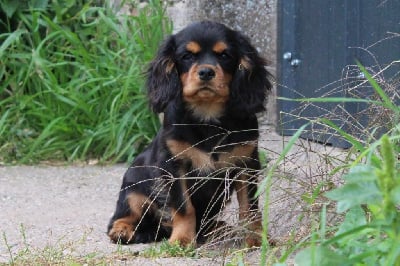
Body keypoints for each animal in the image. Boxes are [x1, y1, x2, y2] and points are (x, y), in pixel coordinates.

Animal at [107, 20, 272, 247]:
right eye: (187, 56)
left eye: (224, 55)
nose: (206, 72)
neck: (207, 113)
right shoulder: (175, 166)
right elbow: (184, 207)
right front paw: (182, 239)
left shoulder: (246, 164)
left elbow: (250, 206)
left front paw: (255, 236)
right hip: (134, 188)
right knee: (120, 217)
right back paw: (122, 230)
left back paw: (219, 229)